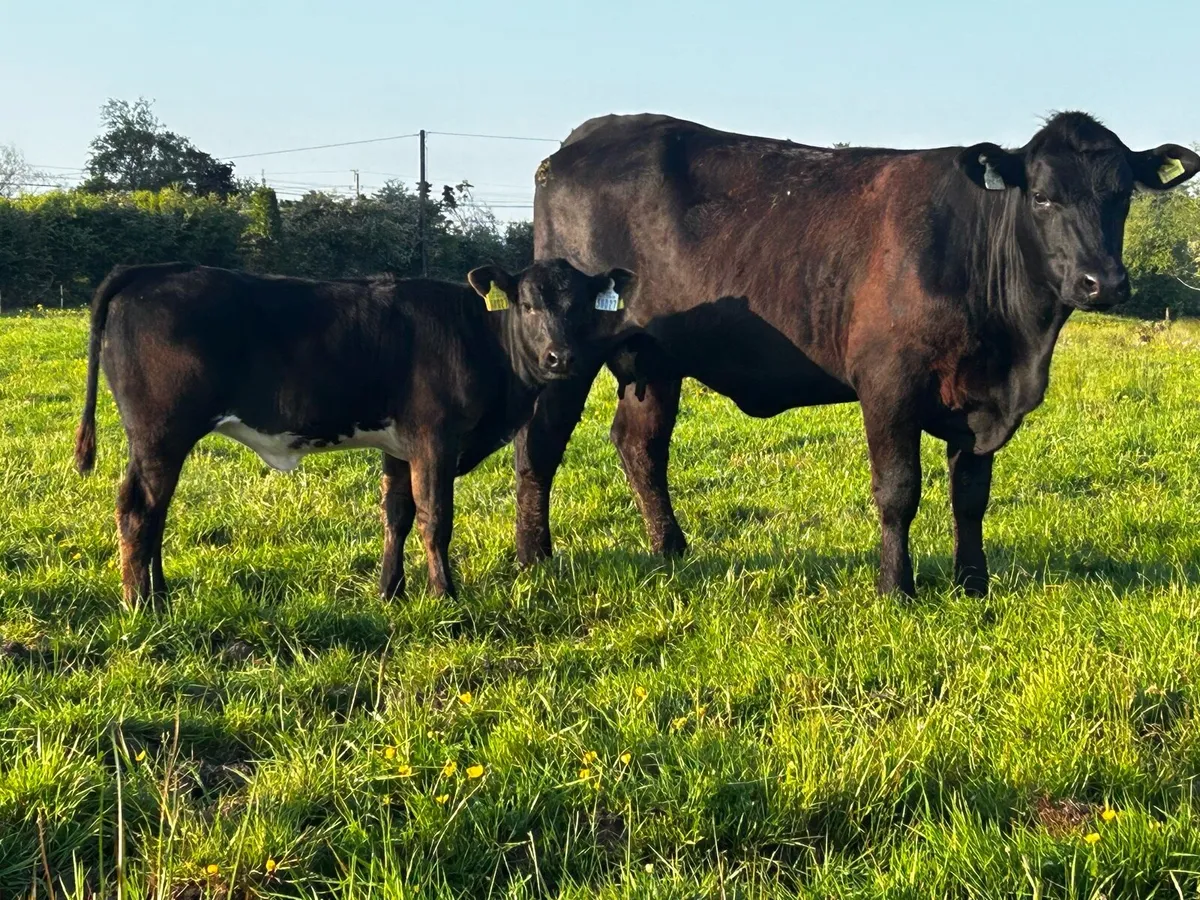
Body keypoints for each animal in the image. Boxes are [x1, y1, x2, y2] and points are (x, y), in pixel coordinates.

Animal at [74, 259, 638, 603]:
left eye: (583, 306)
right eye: (527, 304)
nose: (561, 357)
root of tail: (153, 271)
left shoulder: (399, 444)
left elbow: (398, 514)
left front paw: (391, 591)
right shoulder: (435, 437)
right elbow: (436, 518)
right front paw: (444, 594)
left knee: (155, 514)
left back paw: (160, 594)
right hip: (160, 433)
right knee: (137, 510)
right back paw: (142, 604)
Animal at [520, 112, 1200, 597]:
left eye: (1123, 195)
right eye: (1043, 197)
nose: (1102, 282)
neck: (1015, 346)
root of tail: (579, 141)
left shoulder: (979, 401)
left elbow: (970, 494)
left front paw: (973, 585)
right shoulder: (888, 382)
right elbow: (899, 489)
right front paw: (896, 589)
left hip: (656, 361)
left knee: (641, 444)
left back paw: (671, 550)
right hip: (564, 351)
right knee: (540, 444)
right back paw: (534, 557)